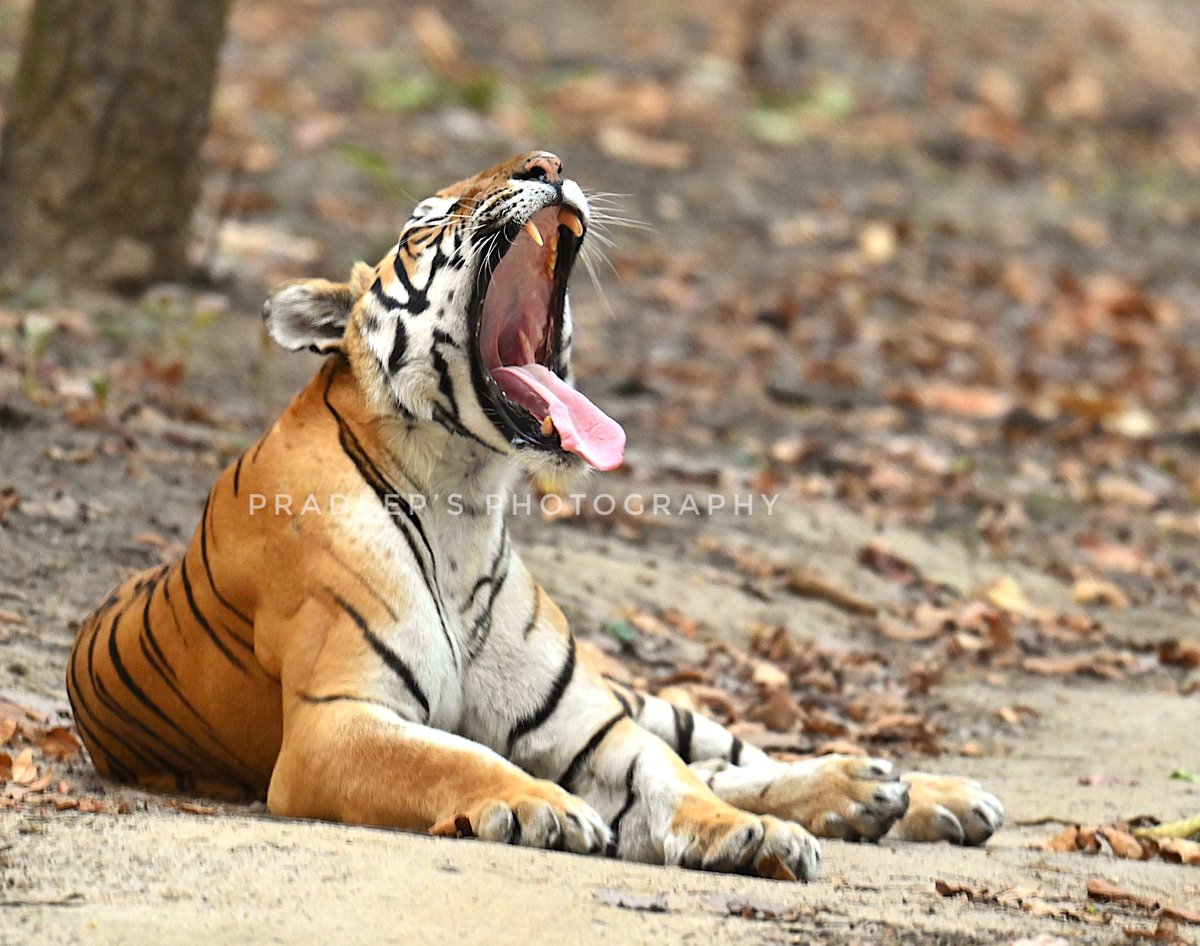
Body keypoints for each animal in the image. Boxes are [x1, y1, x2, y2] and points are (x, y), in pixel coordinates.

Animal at [68, 151, 1003, 883]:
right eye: (432, 219)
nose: (547, 164)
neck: (464, 496)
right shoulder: (336, 722)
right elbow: (453, 758)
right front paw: (541, 807)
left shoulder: (588, 722)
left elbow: (674, 781)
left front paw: (747, 834)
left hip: (638, 695)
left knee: (728, 754)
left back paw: (904, 789)